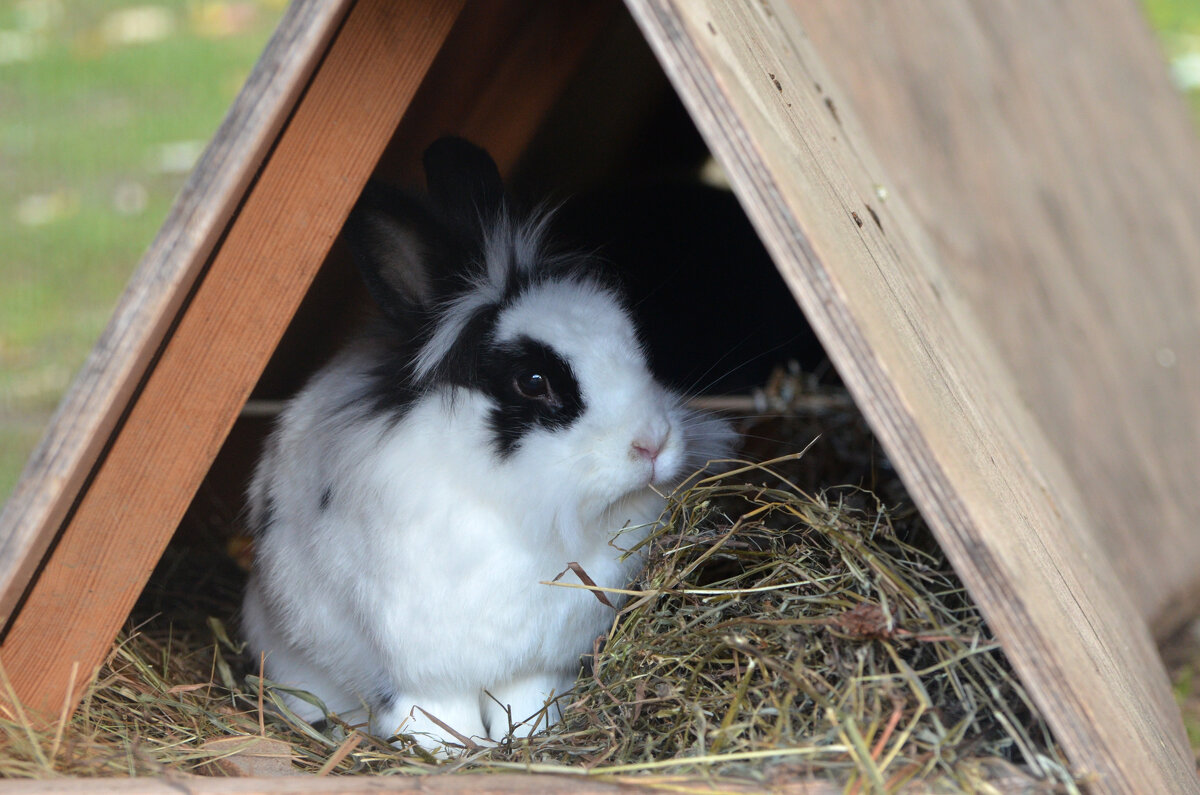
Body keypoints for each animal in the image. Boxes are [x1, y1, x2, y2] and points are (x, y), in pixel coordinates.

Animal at [238, 136, 734, 754]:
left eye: (635, 346)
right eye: (533, 381)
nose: (652, 443)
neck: (514, 509)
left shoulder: (539, 661)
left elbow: (530, 702)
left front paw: (534, 740)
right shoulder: (424, 671)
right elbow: (435, 717)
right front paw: (455, 754)